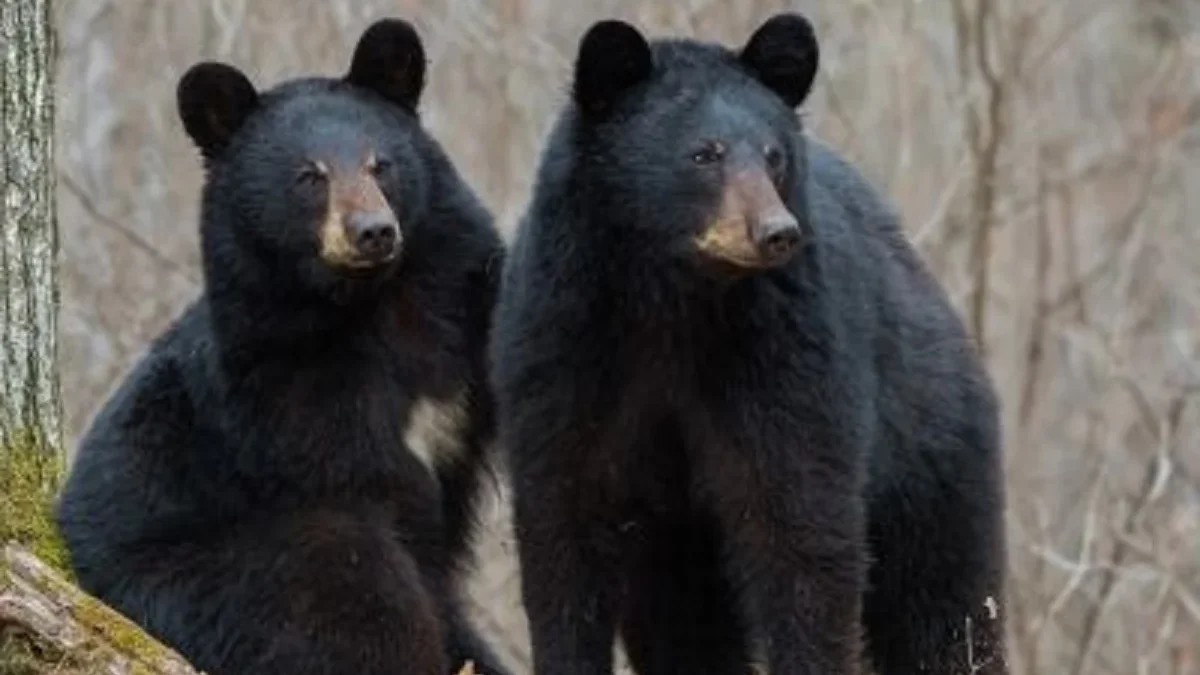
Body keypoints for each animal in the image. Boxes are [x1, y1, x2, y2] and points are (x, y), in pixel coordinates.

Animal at [55, 18, 511, 672]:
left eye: (381, 164)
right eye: (309, 176)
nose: (374, 232)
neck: (369, 303)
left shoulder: (458, 307)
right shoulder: (283, 396)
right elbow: (371, 497)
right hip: (201, 574)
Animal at [492, 10, 1008, 672]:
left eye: (774, 155)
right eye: (703, 153)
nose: (775, 231)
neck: (672, 300)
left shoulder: (786, 353)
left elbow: (800, 530)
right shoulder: (560, 349)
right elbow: (563, 534)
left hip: (932, 457)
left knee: (943, 610)